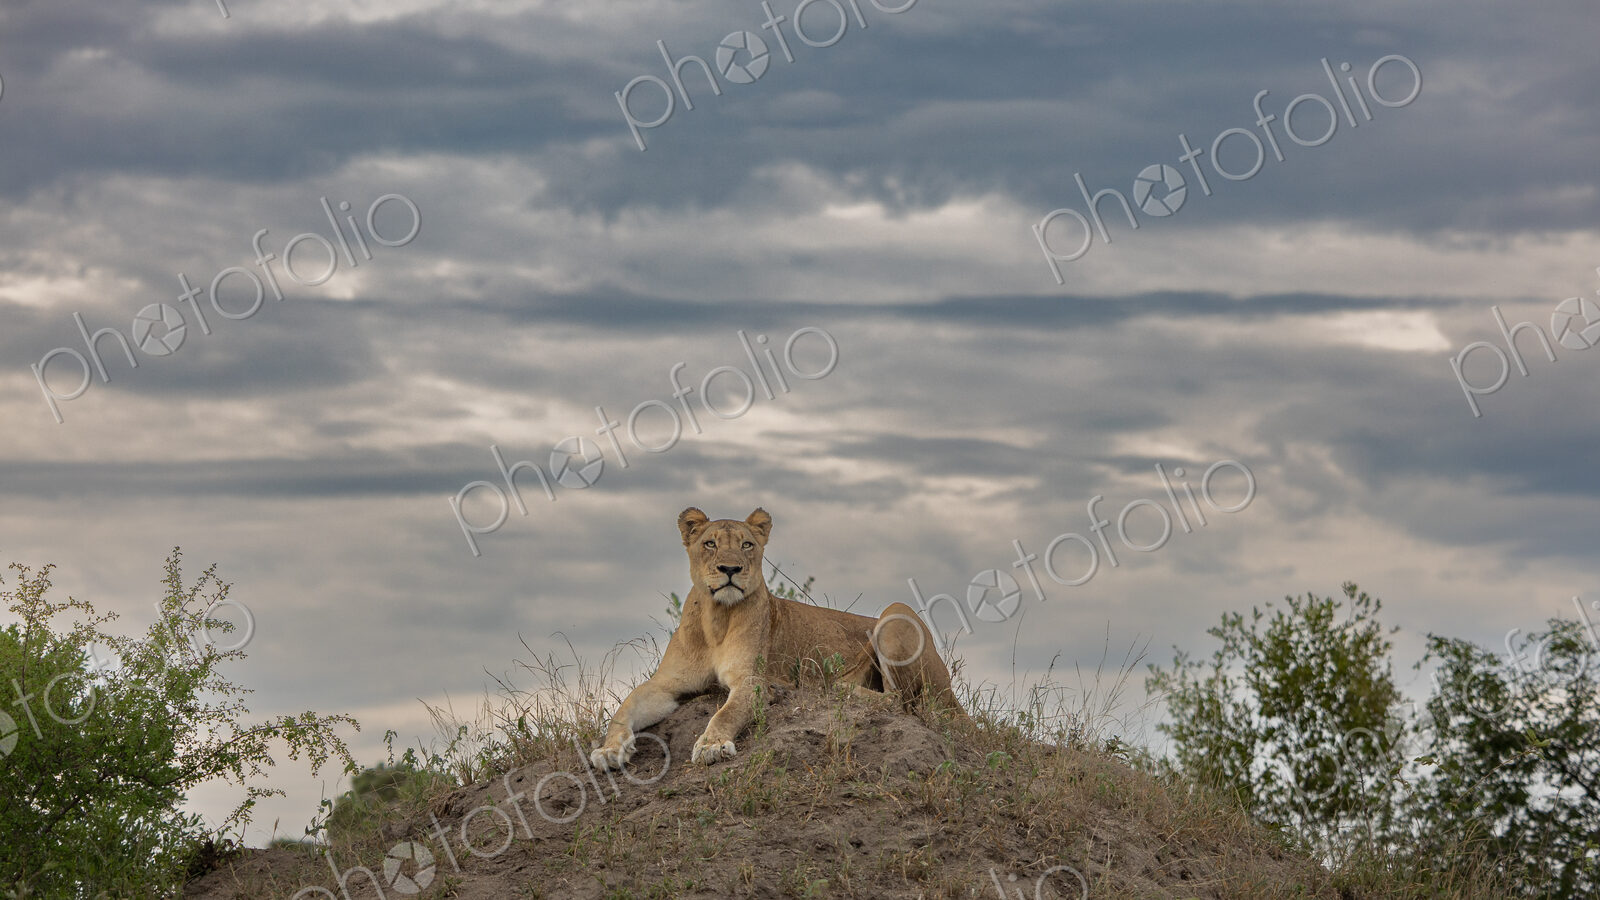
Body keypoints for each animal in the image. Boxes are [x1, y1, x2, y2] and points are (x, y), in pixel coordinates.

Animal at [590, 507, 968, 770]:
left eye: (747, 545)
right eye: (710, 544)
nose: (731, 569)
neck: (717, 618)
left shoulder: (753, 680)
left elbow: (727, 713)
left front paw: (712, 745)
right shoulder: (666, 684)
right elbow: (625, 708)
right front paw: (609, 750)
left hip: (896, 611)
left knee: (900, 701)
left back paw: (833, 687)